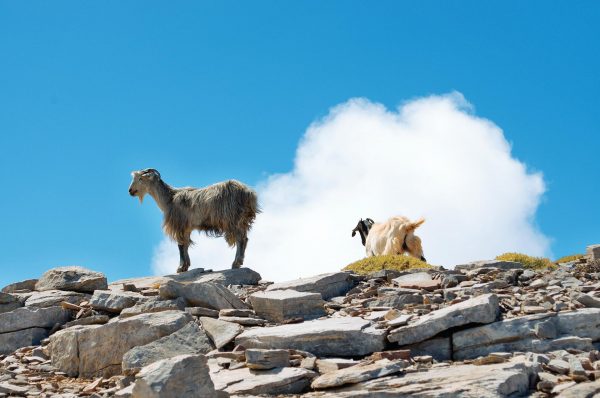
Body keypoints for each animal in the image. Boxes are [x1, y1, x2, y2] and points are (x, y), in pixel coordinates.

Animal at [127, 168, 258, 274]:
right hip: (242, 221)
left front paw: (180, 268)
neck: (169, 199)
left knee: (240, 239)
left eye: (140, 178)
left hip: (233, 219)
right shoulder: (187, 228)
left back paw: (236, 263)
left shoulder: (179, 226)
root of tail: (248, 193)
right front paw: (186, 266)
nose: (130, 191)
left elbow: (181, 245)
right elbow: (186, 245)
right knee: (245, 239)